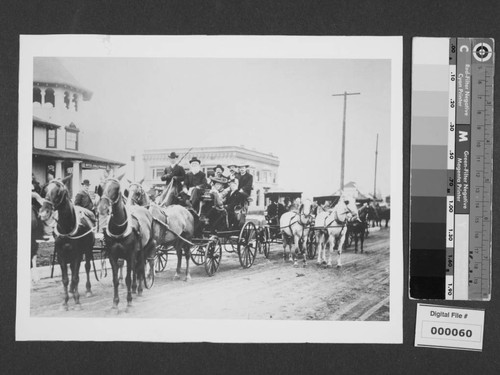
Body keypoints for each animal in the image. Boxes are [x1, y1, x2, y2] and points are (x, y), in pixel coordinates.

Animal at [40, 179, 95, 312]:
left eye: (59, 192)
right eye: (45, 189)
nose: (44, 212)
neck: (66, 228)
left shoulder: (77, 255)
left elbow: (75, 277)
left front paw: (77, 301)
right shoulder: (61, 255)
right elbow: (65, 279)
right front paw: (65, 302)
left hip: (88, 250)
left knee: (87, 267)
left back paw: (88, 290)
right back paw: (71, 290)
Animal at [95, 178, 154, 308]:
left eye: (116, 189)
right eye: (101, 188)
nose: (102, 208)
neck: (119, 229)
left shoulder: (130, 254)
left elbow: (128, 278)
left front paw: (129, 301)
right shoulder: (112, 256)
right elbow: (116, 280)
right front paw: (115, 302)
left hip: (144, 249)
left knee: (140, 268)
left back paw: (139, 289)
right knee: (136, 269)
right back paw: (134, 288)